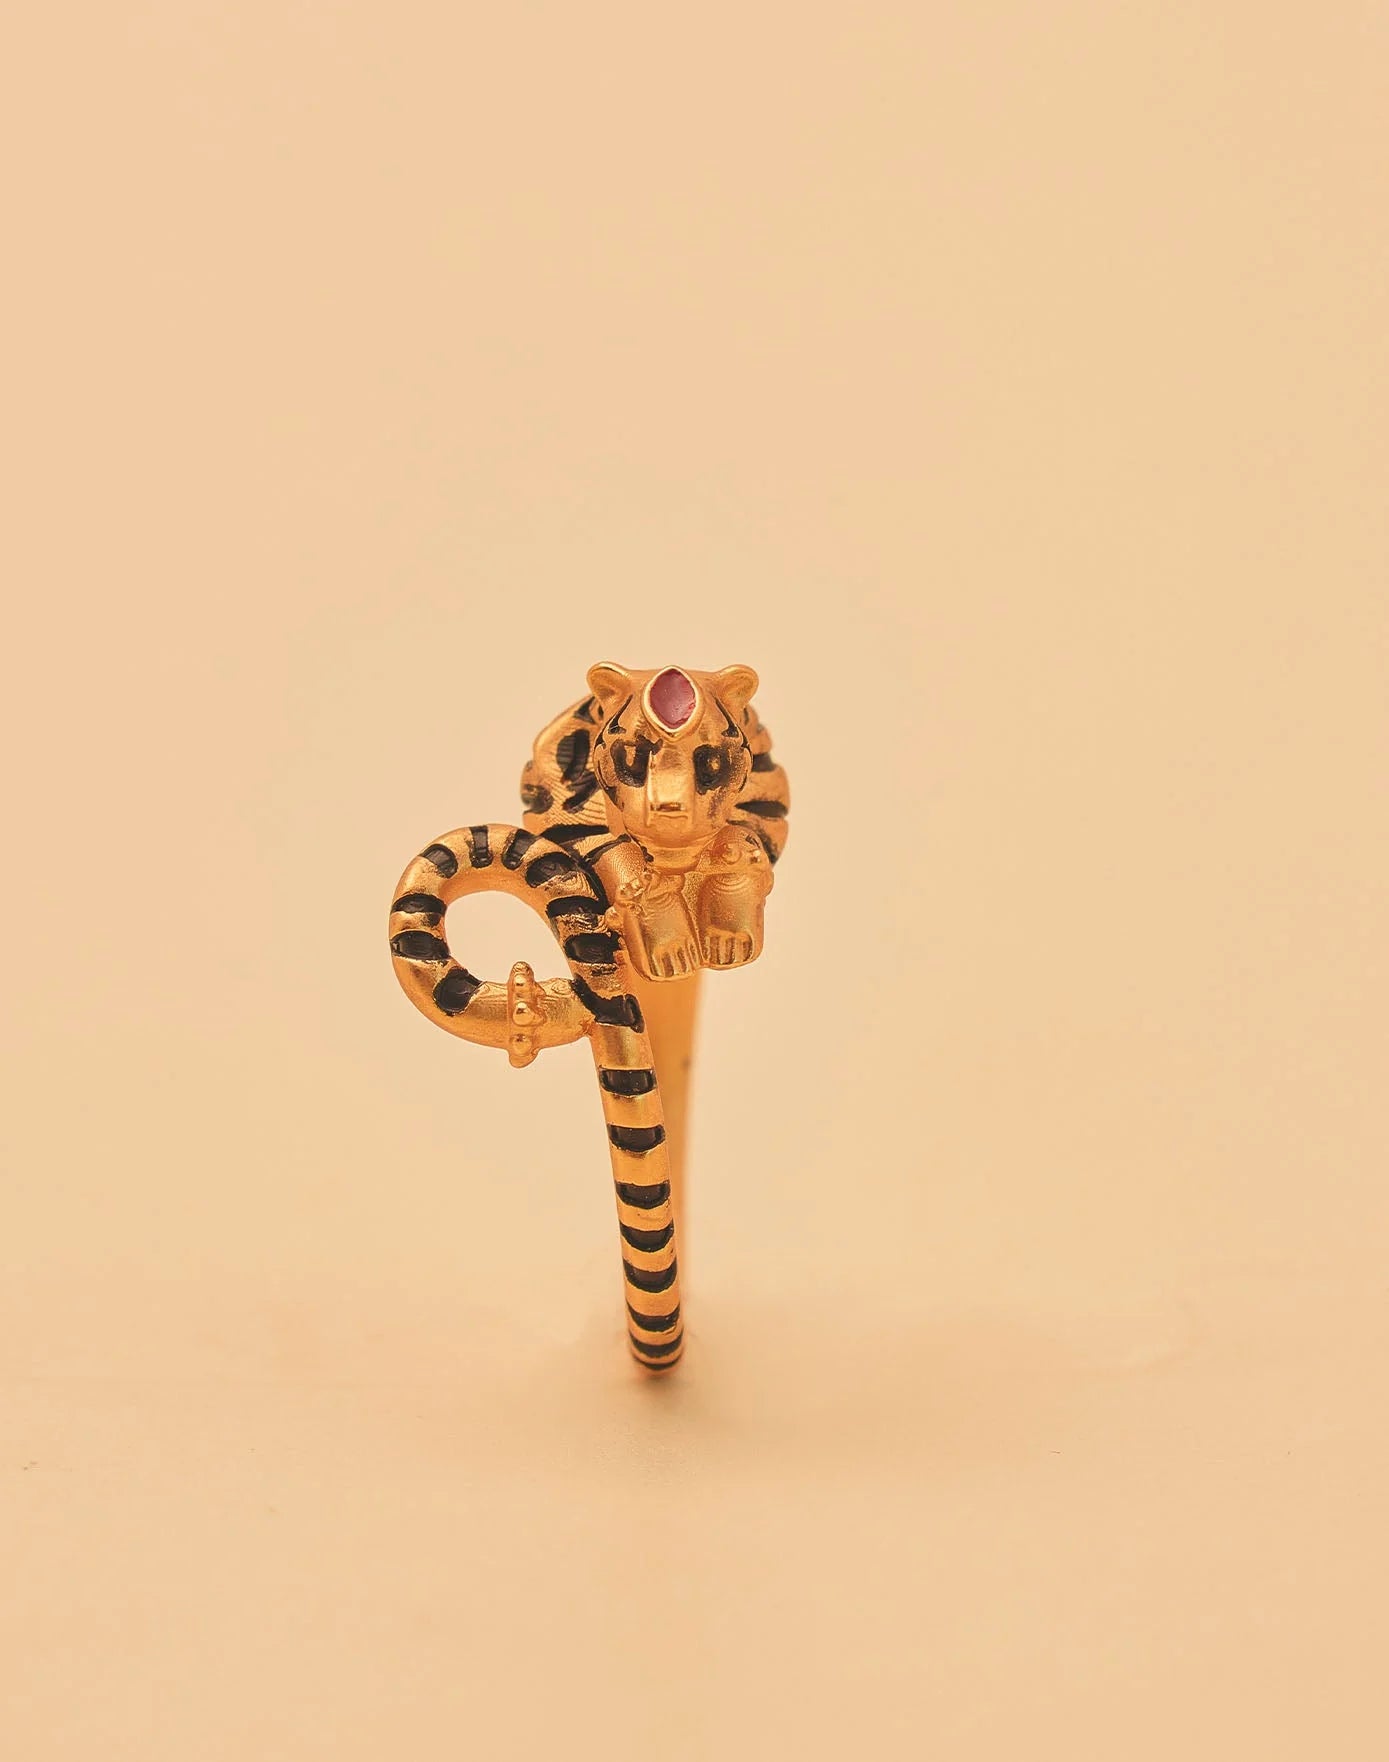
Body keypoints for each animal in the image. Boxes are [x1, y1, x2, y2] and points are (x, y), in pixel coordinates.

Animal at [388, 662, 790, 1371]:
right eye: (631, 757)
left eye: (710, 760)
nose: (667, 809)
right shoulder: (563, 799)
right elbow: (612, 856)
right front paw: (662, 934)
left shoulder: (765, 794)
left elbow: (746, 840)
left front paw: (726, 921)